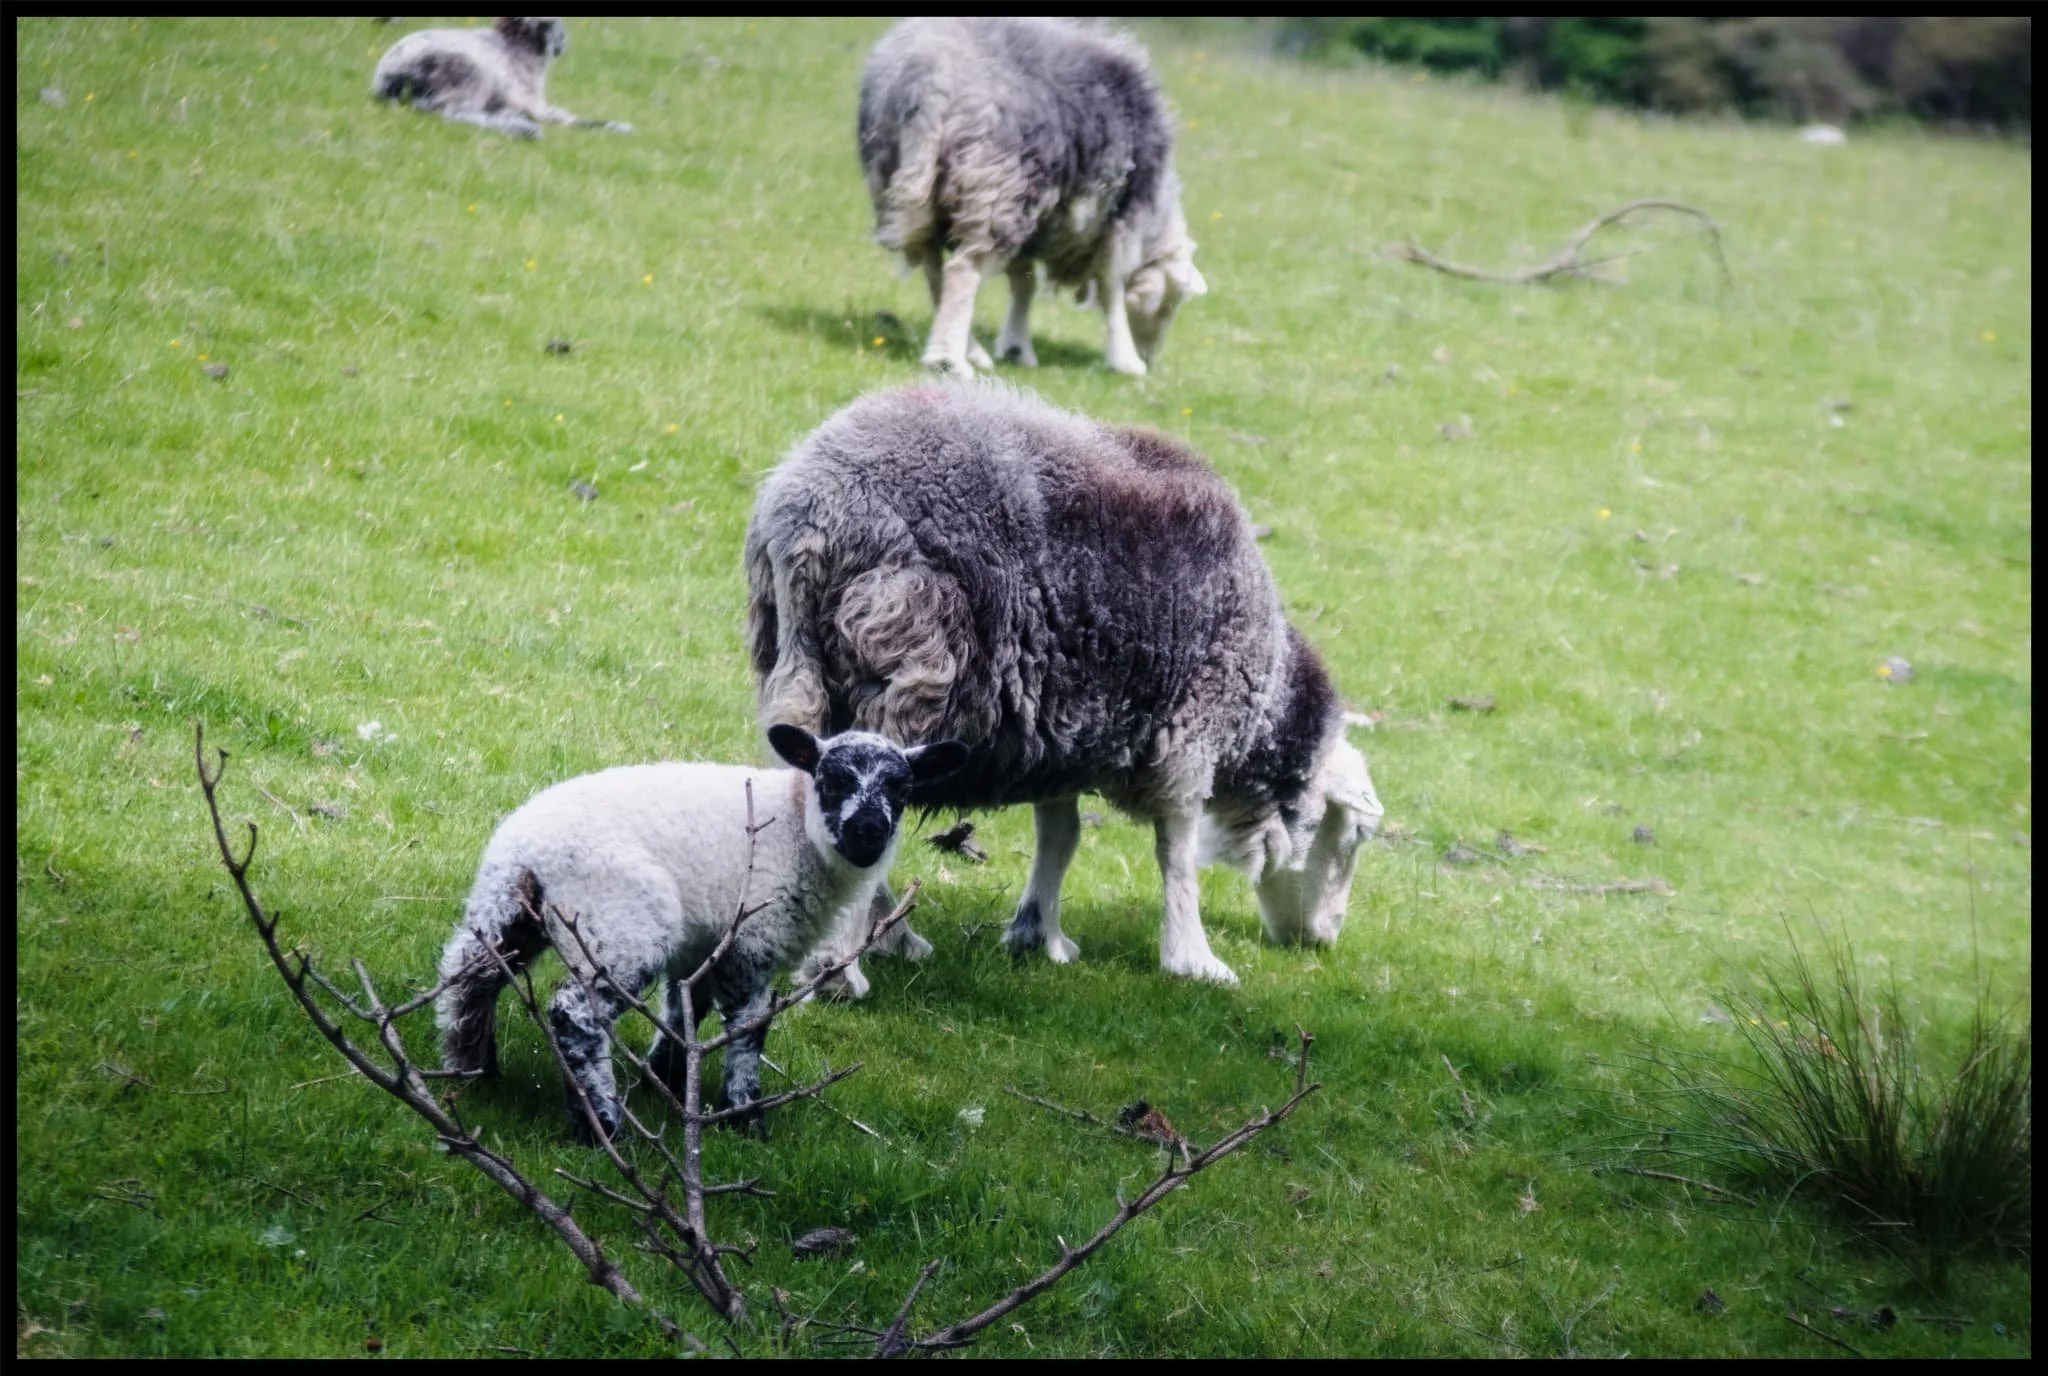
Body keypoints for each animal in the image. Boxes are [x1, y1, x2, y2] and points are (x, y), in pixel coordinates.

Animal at [371, 17, 632, 140]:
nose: (563, 45)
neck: (515, 46)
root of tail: (387, 80)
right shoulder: (534, 103)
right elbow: (571, 119)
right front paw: (618, 126)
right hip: (468, 78)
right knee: (452, 113)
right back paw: (524, 130)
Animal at [435, 725, 966, 1142]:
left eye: (902, 789)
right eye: (832, 781)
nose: (869, 831)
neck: (798, 825)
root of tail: (529, 852)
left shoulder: (704, 944)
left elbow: (686, 1007)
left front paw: (666, 1078)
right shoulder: (754, 937)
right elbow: (749, 1027)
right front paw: (745, 1116)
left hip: (505, 912)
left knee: (469, 979)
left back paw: (473, 1072)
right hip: (617, 926)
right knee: (574, 1014)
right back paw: (600, 1126)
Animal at [745, 383, 1383, 988]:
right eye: (1355, 837)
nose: (1326, 938)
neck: (1263, 712)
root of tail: (808, 514)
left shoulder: (1058, 729)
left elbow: (1062, 834)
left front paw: (1039, 935)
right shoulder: (1189, 731)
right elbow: (1176, 849)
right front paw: (1194, 960)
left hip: (795, 667)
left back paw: (873, 937)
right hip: (910, 665)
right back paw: (843, 967)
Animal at [857, 17, 1206, 378]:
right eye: (1168, 306)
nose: (1150, 357)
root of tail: (929, 80)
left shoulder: (1035, 225)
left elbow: (1024, 285)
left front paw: (1016, 346)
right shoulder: (1117, 222)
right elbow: (1111, 289)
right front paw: (1125, 360)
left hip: (913, 185)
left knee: (935, 274)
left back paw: (969, 351)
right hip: (997, 186)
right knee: (962, 271)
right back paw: (948, 360)